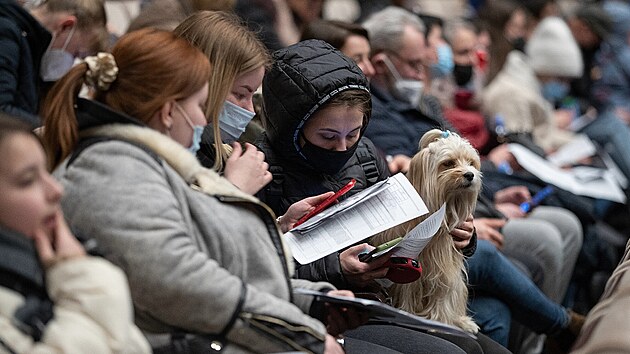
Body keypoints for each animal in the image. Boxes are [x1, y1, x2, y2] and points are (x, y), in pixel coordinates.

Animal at [376, 129, 484, 334]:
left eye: (471, 163)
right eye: (448, 163)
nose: (470, 175)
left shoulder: (445, 271)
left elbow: (444, 293)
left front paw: (440, 322)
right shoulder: (408, 267)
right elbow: (407, 289)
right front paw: (407, 314)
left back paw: (462, 321)